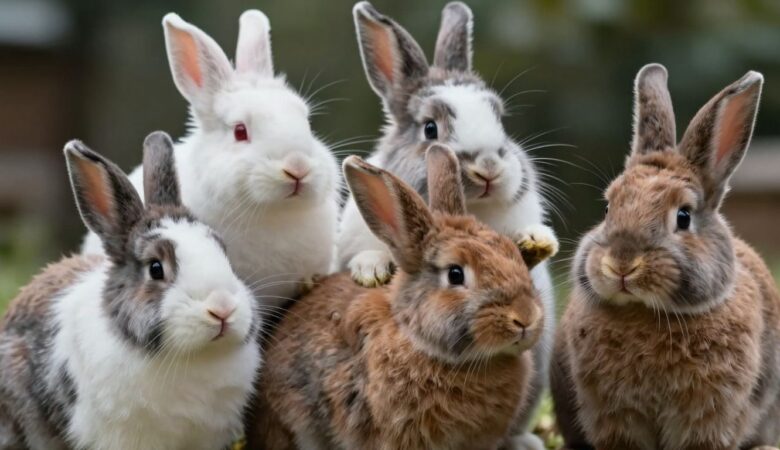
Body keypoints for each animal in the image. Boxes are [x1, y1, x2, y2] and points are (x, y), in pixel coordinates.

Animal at [551, 64, 780, 450]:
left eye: (683, 217)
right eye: (609, 208)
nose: (622, 264)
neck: (648, 312)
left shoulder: (708, 416)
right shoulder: (614, 416)